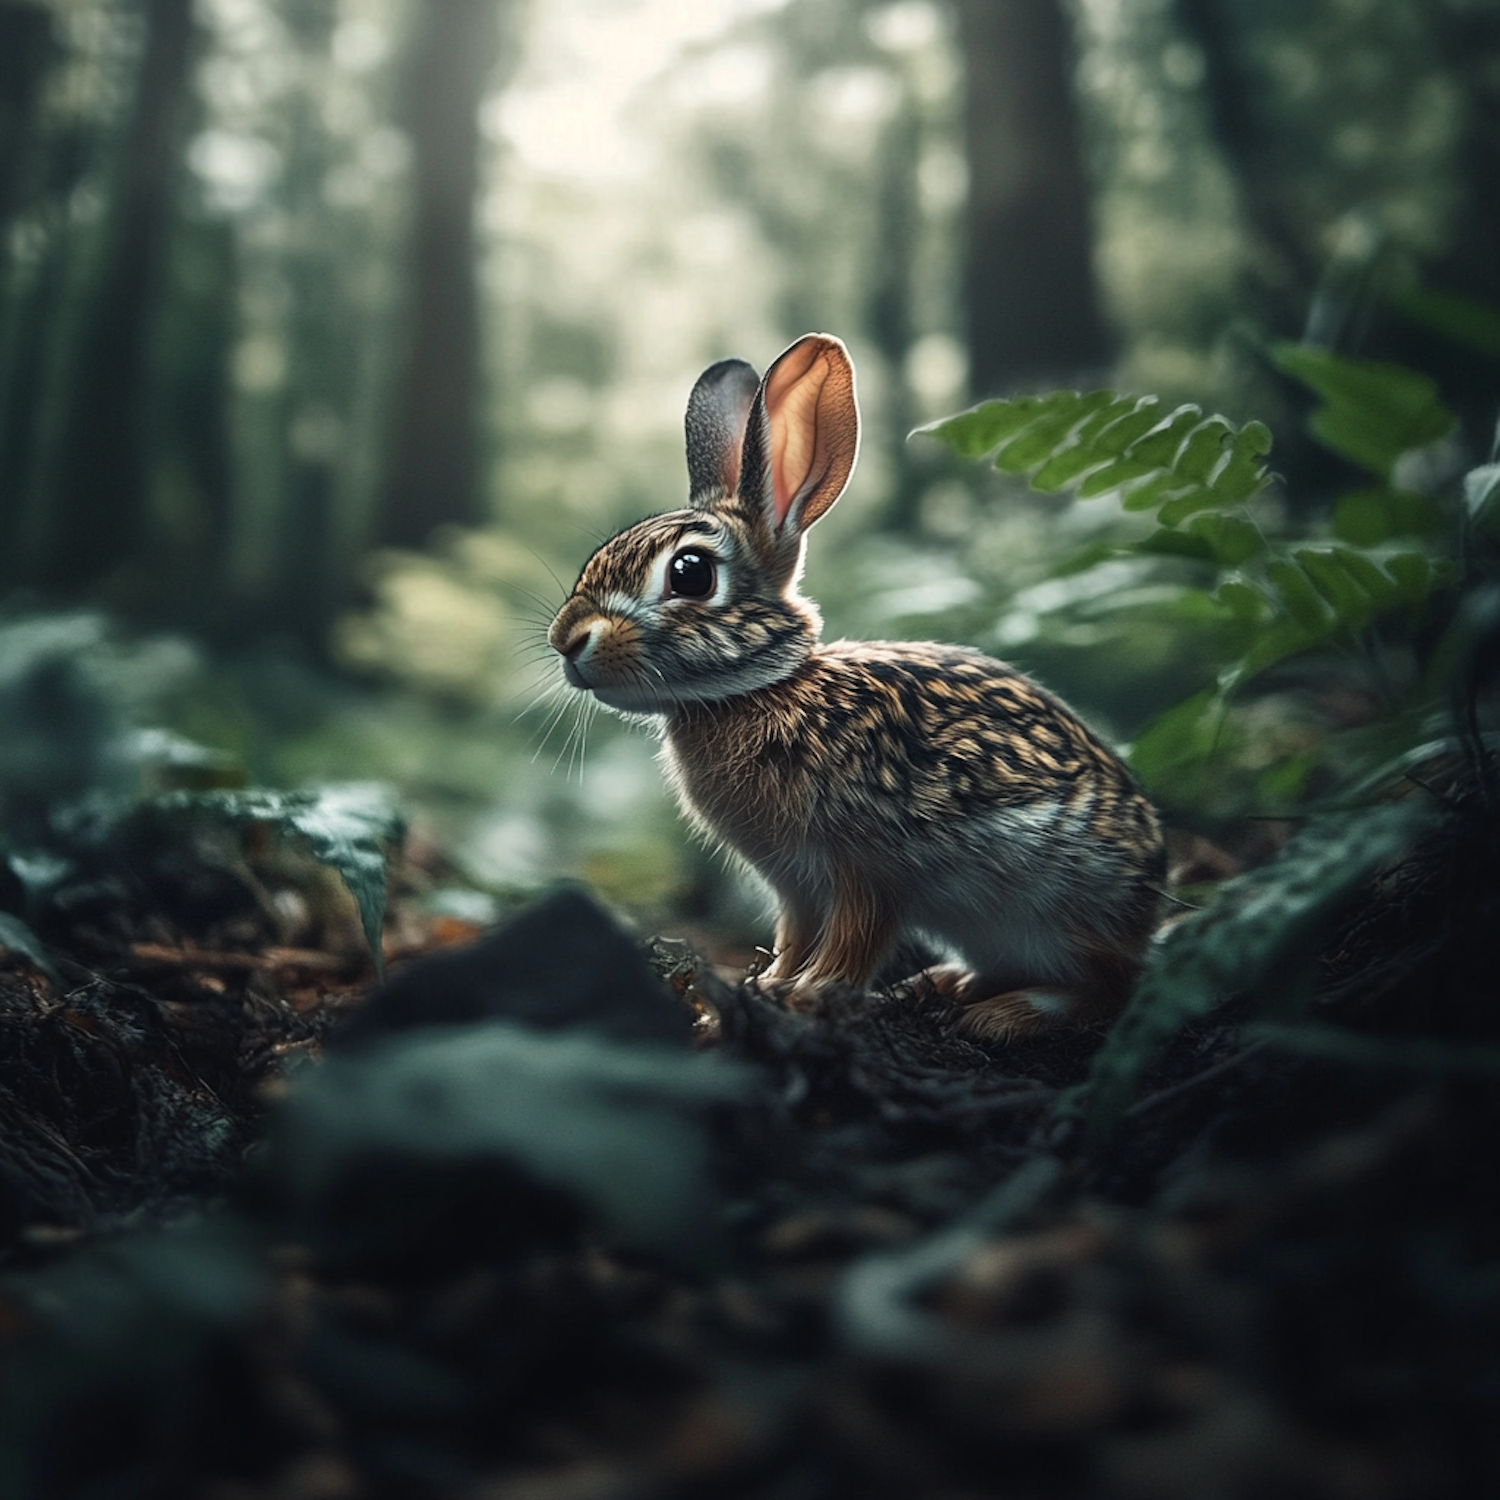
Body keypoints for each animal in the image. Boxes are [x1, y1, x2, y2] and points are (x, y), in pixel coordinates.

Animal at [546, 333, 1164, 1038]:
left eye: (691, 573)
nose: (566, 641)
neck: (758, 693)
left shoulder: (872, 868)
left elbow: (853, 941)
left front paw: (806, 998)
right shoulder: (796, 883)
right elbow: (795, 934)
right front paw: (768, 988)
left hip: (1061, 906)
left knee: (1110, 988)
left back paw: (1001, 1013)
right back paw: (944, 983)